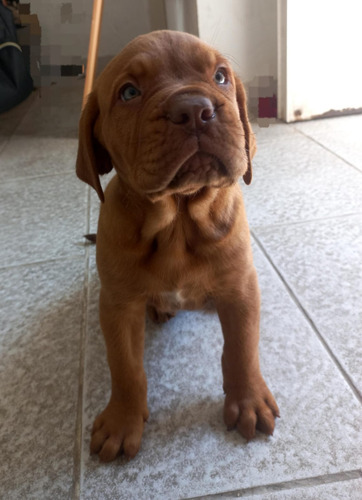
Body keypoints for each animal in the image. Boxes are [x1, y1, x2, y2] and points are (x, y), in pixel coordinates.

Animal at [77, 30, 280, 460]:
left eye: (220, 77)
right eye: (129, 92)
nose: (195, 109)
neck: (178, 220)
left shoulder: (240, 288)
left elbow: (242, 348)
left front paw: (248, 400)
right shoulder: (117, 304)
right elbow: (125, 366)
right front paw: (122, 419)